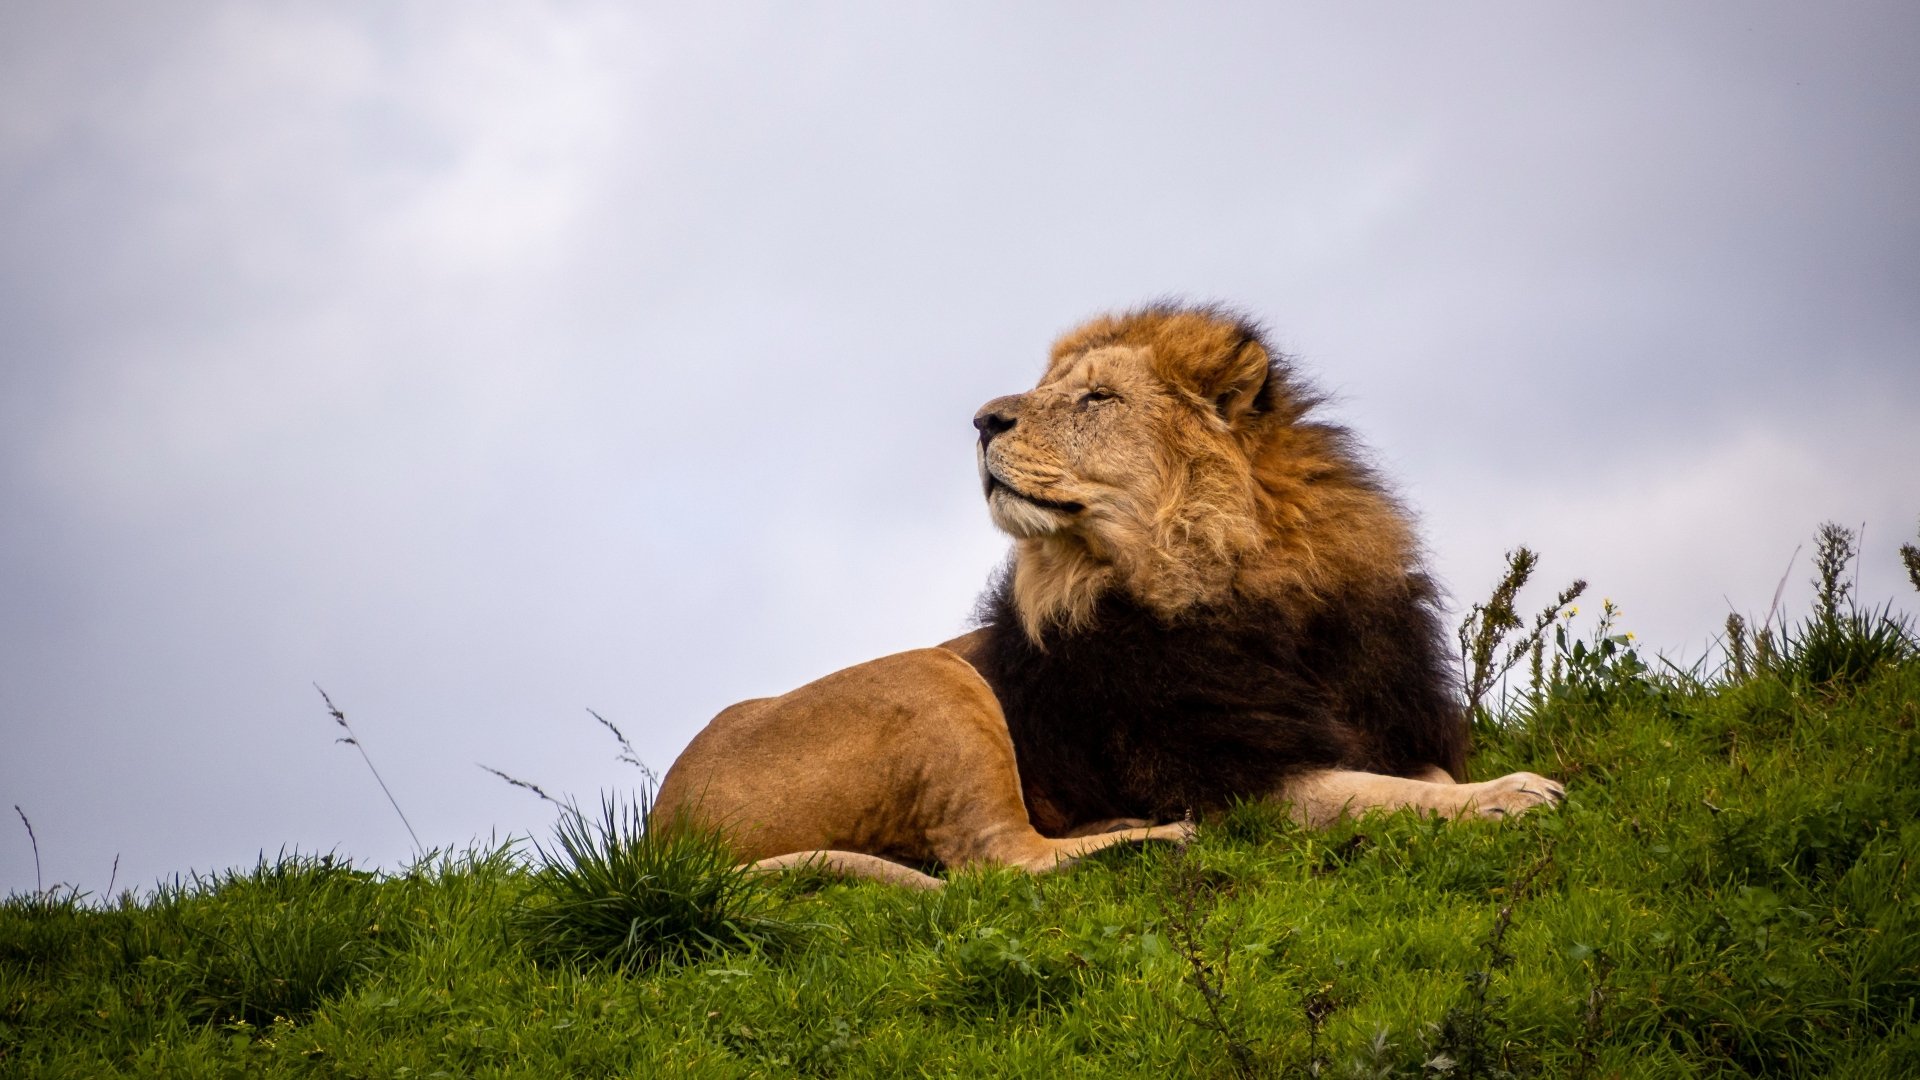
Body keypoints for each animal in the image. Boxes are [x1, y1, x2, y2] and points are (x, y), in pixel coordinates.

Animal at [652, 304, 1563, 889]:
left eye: (1097, 397)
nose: (981, 420)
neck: (1256, 594)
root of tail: (662, 829)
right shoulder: (1237, 776)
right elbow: (1380, 796)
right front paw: (1512, 793)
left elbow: (1415, 776)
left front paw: (1482, 789)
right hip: (933, 679)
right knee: (995, 863)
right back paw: (1154, 838)